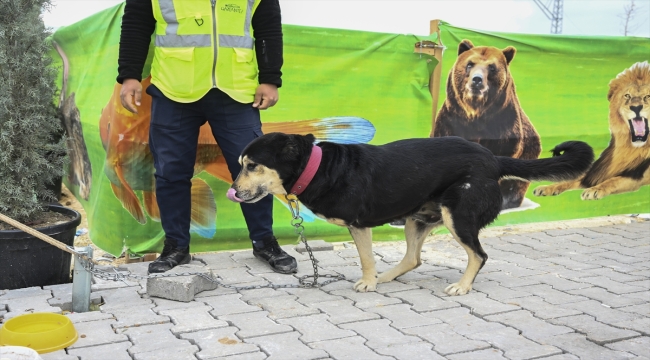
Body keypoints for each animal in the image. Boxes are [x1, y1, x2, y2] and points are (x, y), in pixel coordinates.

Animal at [229, 132, 592, 296]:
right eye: (240, 165)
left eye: (252, 166)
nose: (233, 191)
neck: (317, 167)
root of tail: (493, 159)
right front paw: (374, 280)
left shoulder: (358, 224)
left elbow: (366, 258)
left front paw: (367, 283)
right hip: (417, 218)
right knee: (414, 259)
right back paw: (388, 276)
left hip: (457, 217)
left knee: (479, 255)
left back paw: (462, 286)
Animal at [536, 59, 644, 200]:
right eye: (627, 96)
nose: (636, 107)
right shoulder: (596, 172)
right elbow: (569, 180)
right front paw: (547, 188)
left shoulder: (636, 176)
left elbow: (613, 180)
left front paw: (595, 190)